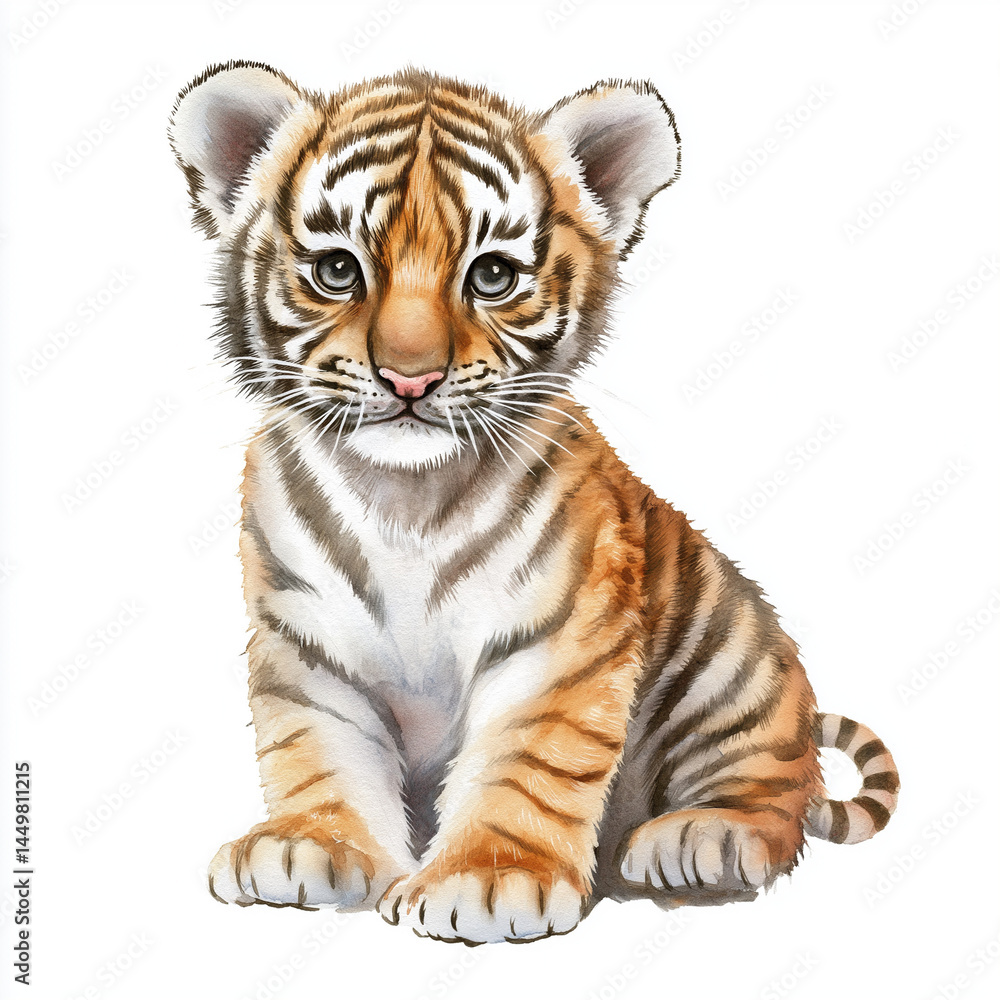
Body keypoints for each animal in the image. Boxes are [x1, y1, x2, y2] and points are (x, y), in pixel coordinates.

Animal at [169, 62, 899, 945]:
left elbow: (529, 761)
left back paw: (705, 835)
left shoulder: (560, 638)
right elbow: (317, 747)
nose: (410, 378)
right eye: (339, 270)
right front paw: (309, 846)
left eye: (492, 276)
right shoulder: (307, 641)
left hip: (732, 662)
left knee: (773, 792)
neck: (403, 500)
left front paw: (488, 880)